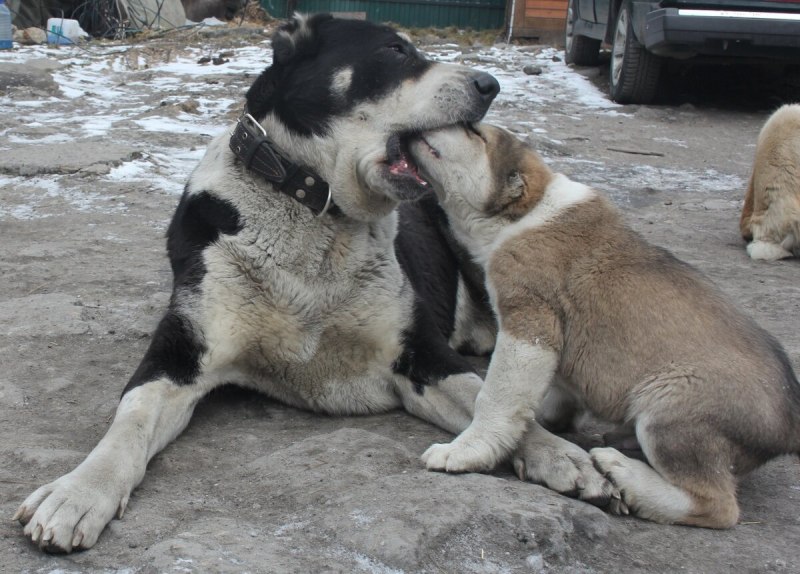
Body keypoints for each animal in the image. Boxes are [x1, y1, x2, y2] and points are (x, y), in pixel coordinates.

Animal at [15, 13, 504, 552]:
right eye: (395, 50)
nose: (490, 84)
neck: (313, 210)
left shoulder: (423, 354)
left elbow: (490, 402)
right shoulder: (181, 353)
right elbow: (131, 420)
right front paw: (79, 493)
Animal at [410, 125, 800, 532]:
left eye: (475, 133)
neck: (523, 214)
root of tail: (791, 426)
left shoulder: (529, 320)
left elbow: (496, 395)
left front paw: (464, 452)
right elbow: (553, 389)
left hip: (673, 408)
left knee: (716, 505)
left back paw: (623, 471)